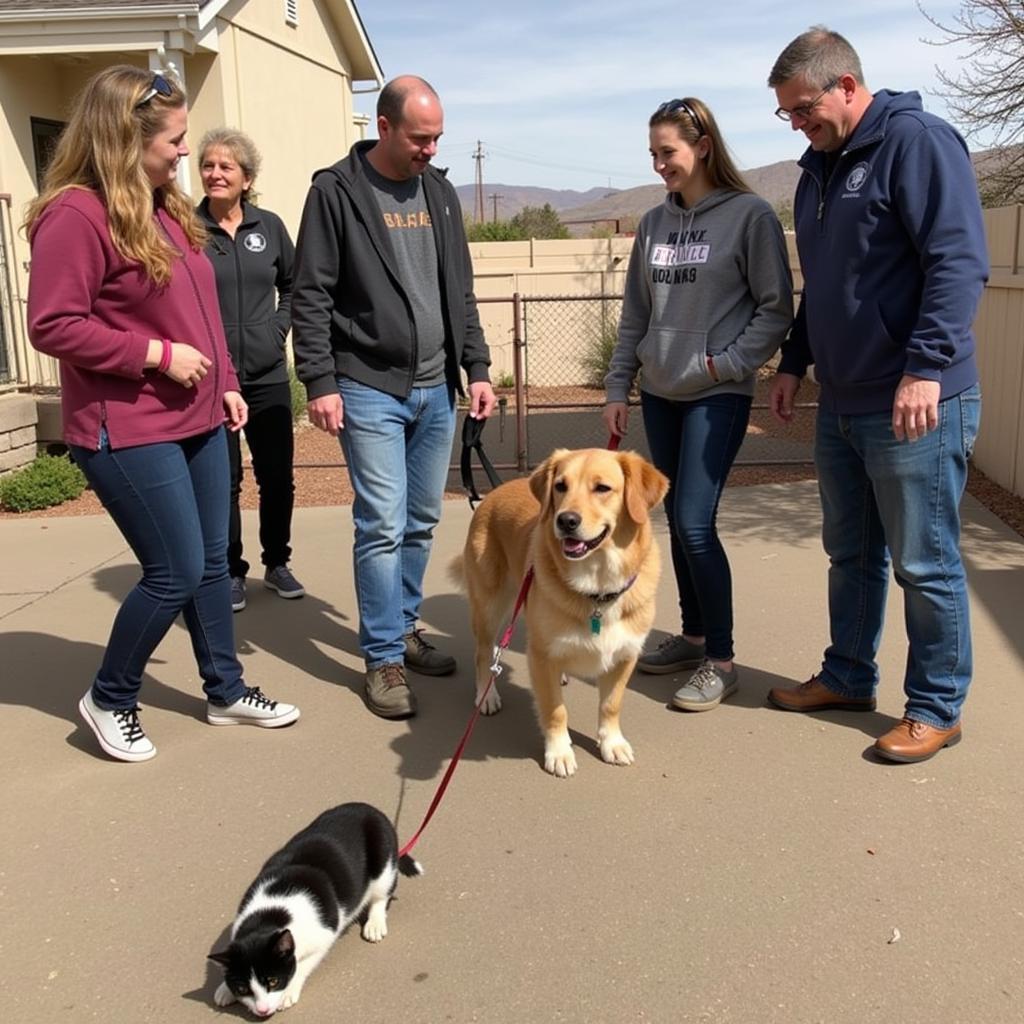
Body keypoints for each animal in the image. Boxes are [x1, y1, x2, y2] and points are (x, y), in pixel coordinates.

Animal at [207, 798, 419, 1015]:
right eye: (243, 989)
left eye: (273, 982)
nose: (262, 1010)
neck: (269, 916)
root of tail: (370, 808)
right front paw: (225, 989)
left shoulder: (324, 936)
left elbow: (302, 964)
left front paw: (289, 992)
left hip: (384, 861)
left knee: (381, 894)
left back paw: (375, 924)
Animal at [452, 448, 667, 774]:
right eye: (560, 486)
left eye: (602, 488)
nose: (565, 520)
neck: (598, 587)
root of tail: (493, 492)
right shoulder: (541, 657)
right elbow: (555, 710)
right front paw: (560, 752)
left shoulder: (625, 655)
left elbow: (611, 704)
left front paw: (612, 743)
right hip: (490, 605)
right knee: (483, 653)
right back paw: (486, 696)